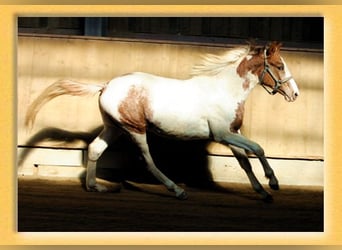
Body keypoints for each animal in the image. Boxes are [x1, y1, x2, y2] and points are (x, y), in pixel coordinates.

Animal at [25, 41, 300, 201]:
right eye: (279, 65)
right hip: (135, 129)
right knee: (148, 161)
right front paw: (273, 182)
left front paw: (263, 192)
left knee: (94, 149)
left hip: (114, 127)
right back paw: (177, 190)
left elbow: (245, 162)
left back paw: (96, 187)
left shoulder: (233, 133)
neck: (225, 90)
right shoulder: (223, 134)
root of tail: (106, 85)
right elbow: (258, 149)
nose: (295, 94)